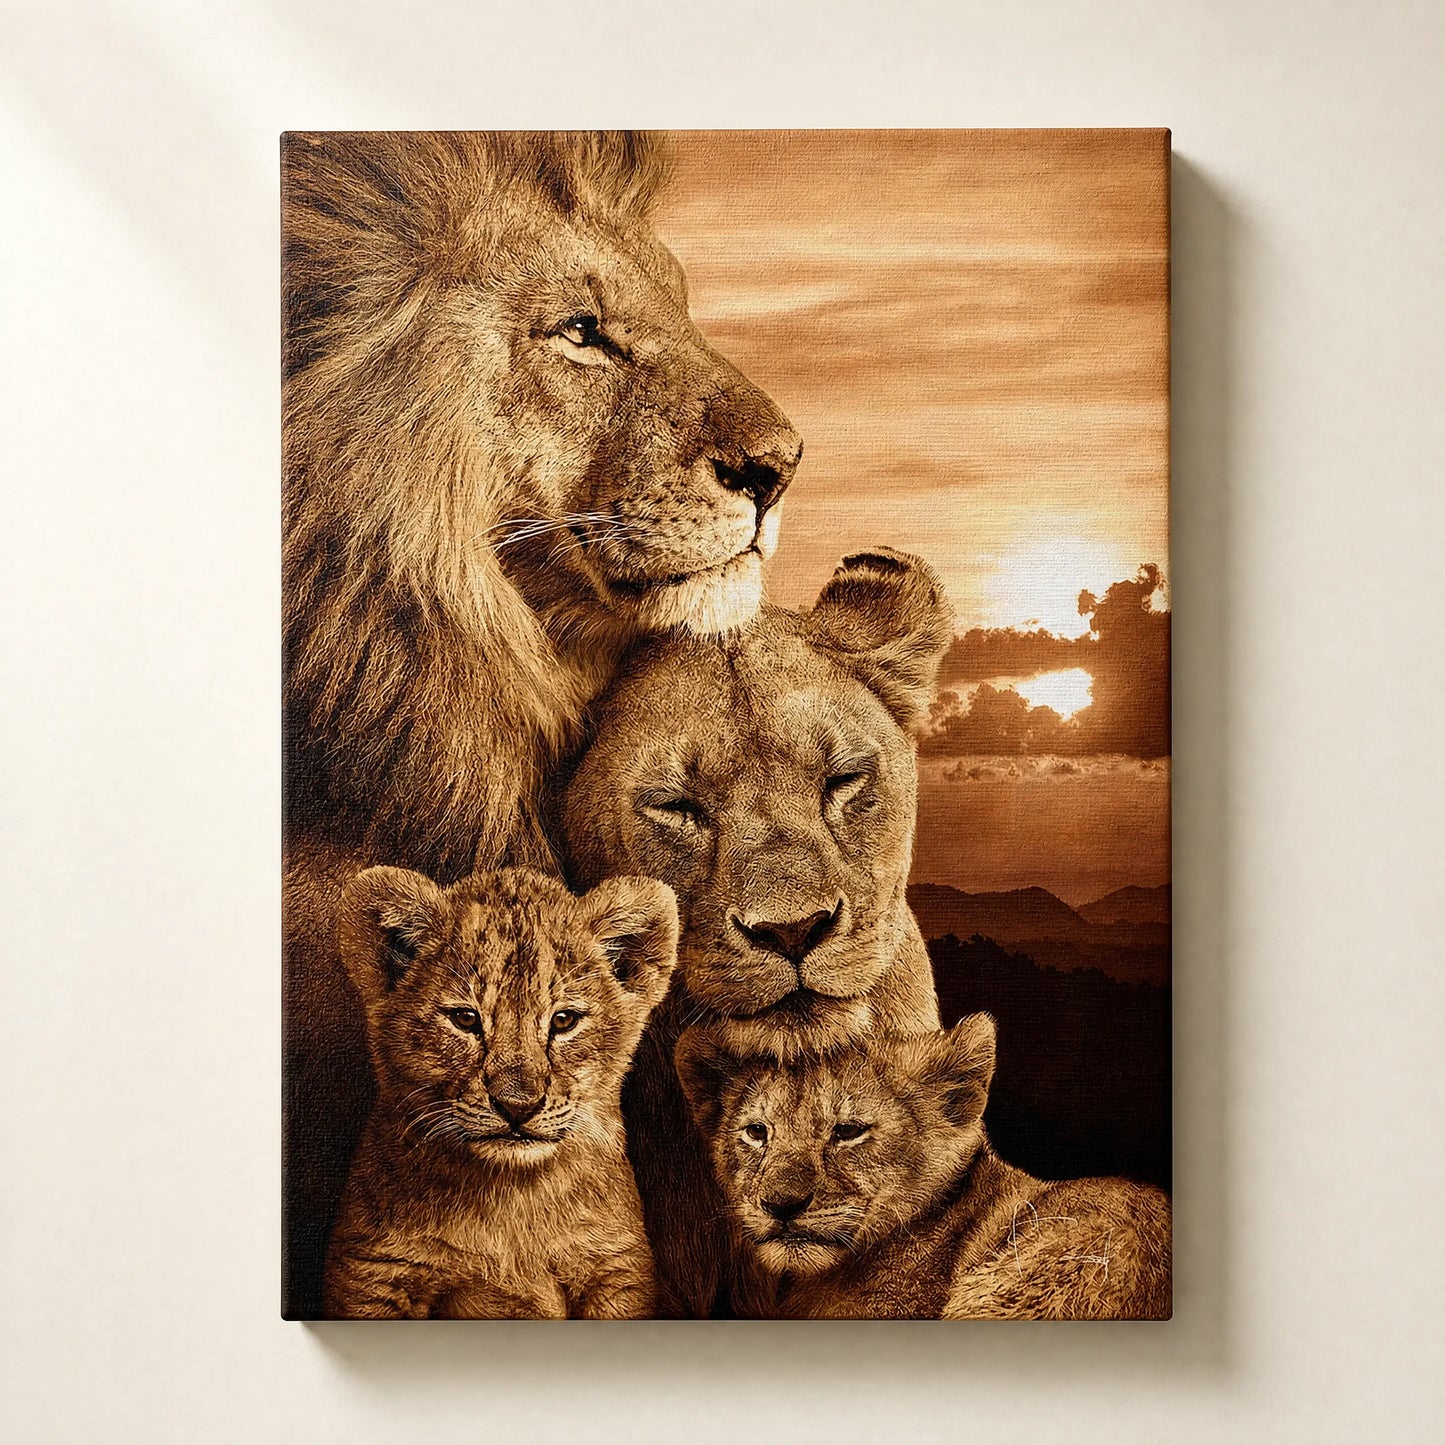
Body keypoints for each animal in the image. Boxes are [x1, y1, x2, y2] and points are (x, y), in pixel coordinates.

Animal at [323, 865, 678, 1319]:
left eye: (564, 1020)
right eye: (465, 1019)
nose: (517, 1106)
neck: (511, 1199)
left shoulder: (616, 1271)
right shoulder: (375, 1274)